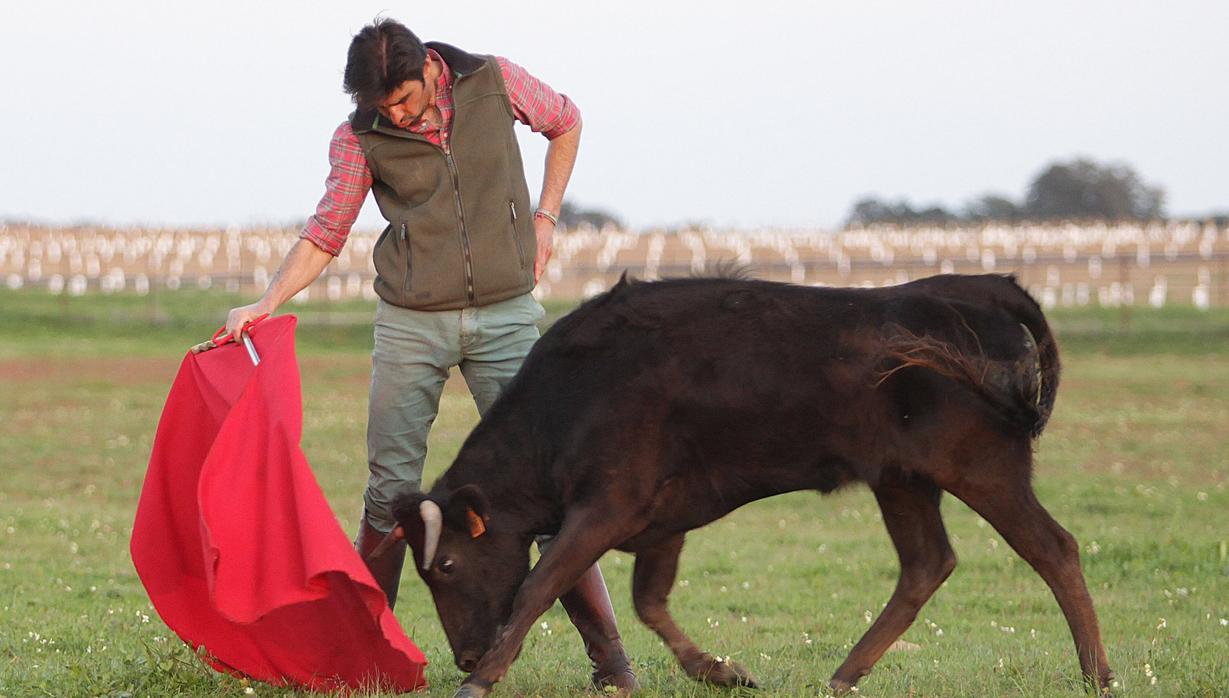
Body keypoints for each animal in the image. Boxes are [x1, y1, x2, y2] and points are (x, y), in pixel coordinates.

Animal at [373, 272, 1115, 698]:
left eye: (445, 564)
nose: (464, 650)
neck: (577, 391)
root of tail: (977, 287)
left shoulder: (606, 507)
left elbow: (538, 587)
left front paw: (481, 679)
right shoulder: (659, 520)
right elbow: (648, 602)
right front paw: (721, 671)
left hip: (981, 469)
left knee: (1053, 550)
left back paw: (1097, 676)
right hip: (902, 481)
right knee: (926, 565)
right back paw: (844, 675)